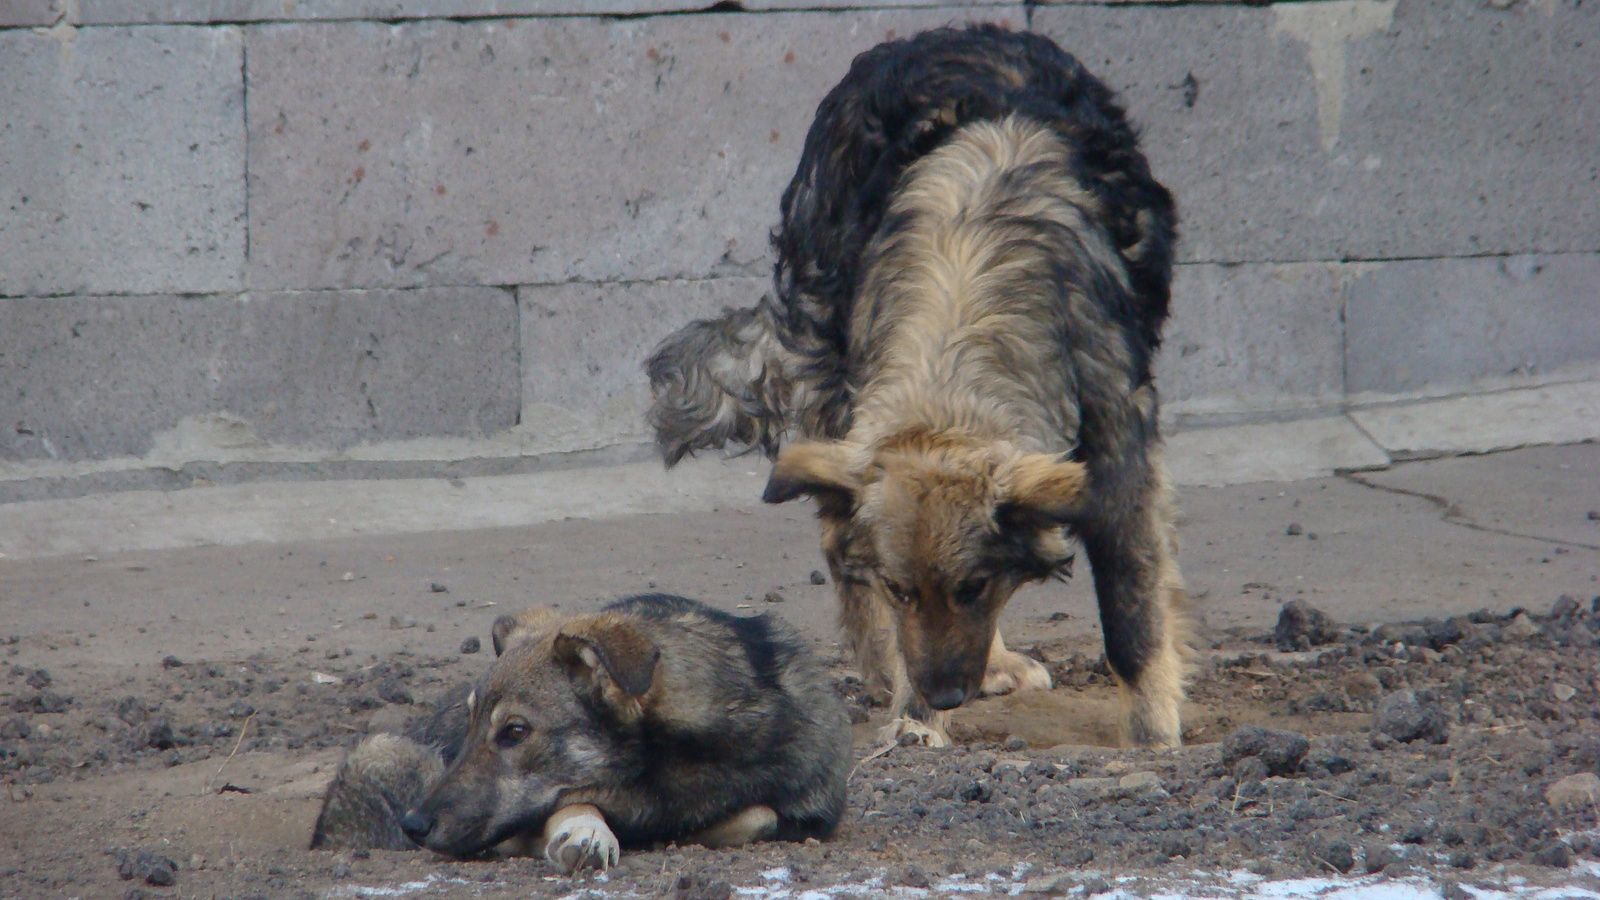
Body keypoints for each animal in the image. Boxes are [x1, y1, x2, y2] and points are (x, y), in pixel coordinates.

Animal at [305, 592, 851, 864]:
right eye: (471, 721)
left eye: (515, 732)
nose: (413, 825)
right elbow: (571, 804)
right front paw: (586, 832)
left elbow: (759, 814)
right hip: (385, 751)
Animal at [646, 24, 1190, 746]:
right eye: (900, 591)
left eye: (975, 587)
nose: (945, 694)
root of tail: (948, 33)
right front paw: (913, 722)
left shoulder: (1119, 456)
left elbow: (1133, 617)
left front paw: (1154, 734)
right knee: (835, 543)